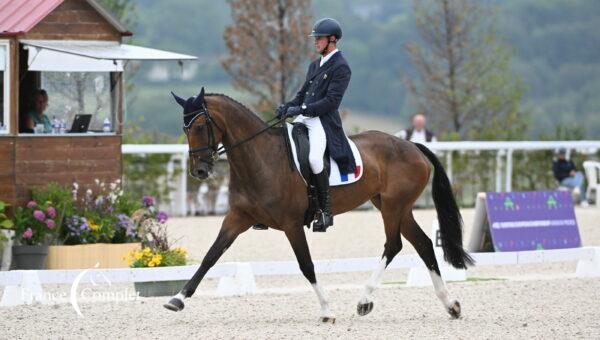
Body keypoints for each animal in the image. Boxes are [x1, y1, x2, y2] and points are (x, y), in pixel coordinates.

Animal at [164, 87, 474, 322]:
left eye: (201, 126)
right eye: (184, 128)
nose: (199, 171)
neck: (261, 159)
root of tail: (411, 146)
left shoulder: (291, 224)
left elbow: (306, 264)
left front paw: (326, 310)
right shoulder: (237, 218)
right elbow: (211, 256)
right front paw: (177, 299)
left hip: (393, 207)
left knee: (394, 245)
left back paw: (364, 301)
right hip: (396, 207)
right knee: (423, 244)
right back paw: (451, 305)